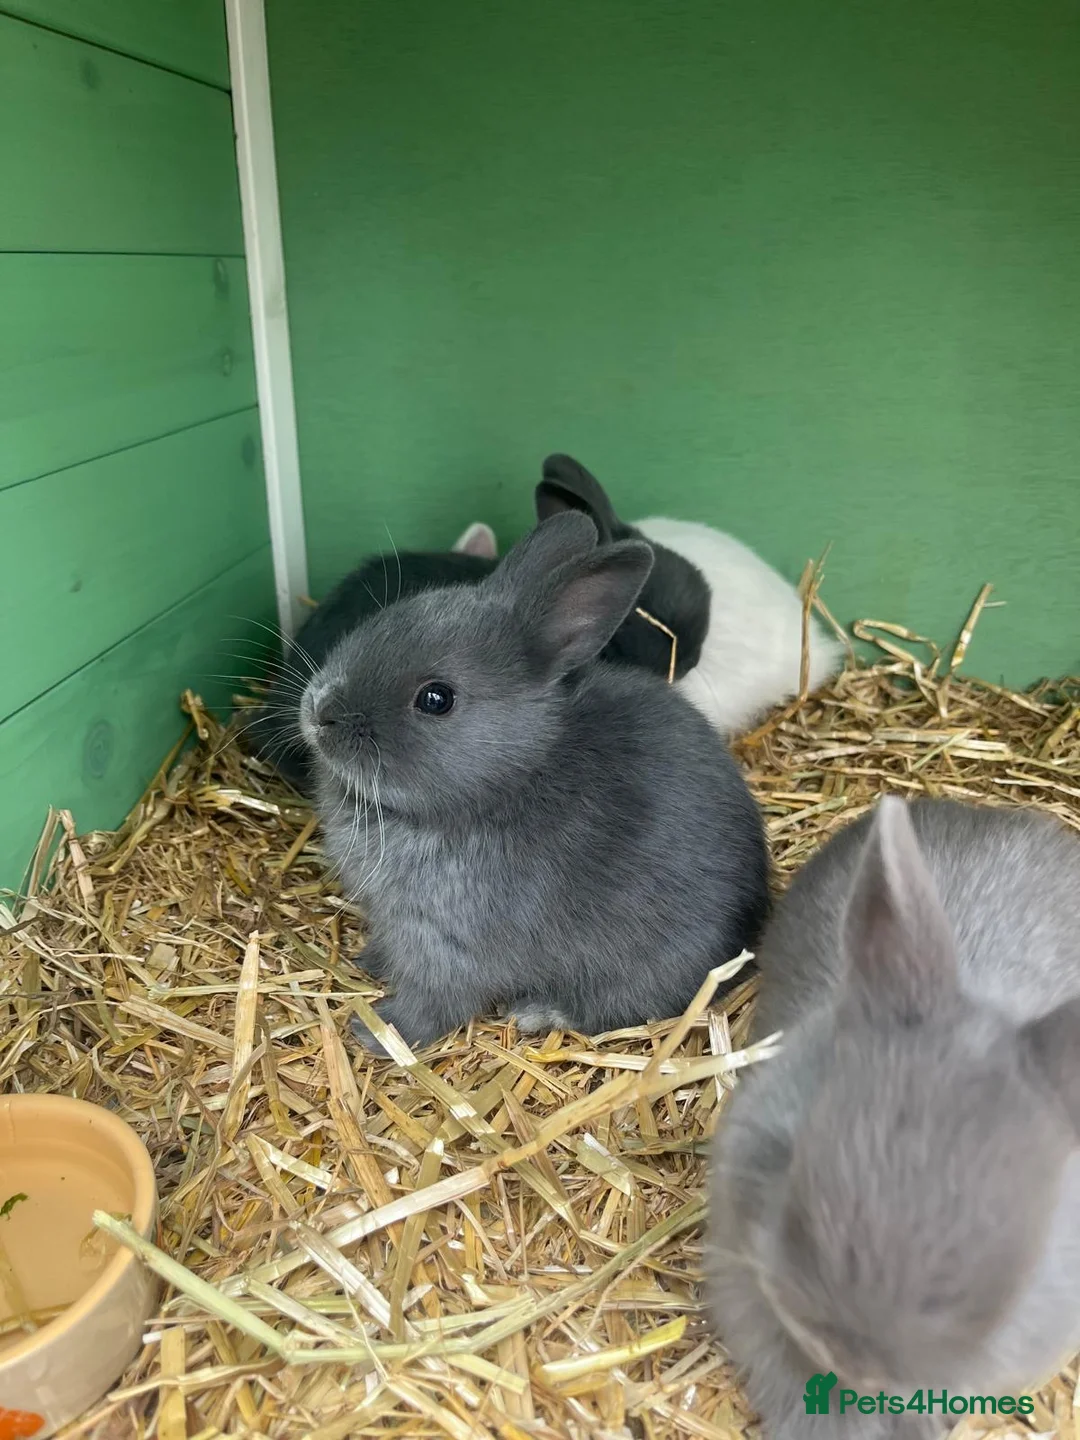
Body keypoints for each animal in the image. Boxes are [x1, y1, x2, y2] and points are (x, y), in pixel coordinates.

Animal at [298, 509, 771, 1056]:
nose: (320, 712)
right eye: (385, 620)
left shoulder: (447, 944)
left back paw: (537, 1013)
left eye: (436, 699)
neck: (510, 776)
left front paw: (377, 1033)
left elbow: (434, 1002)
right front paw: (370, 961)